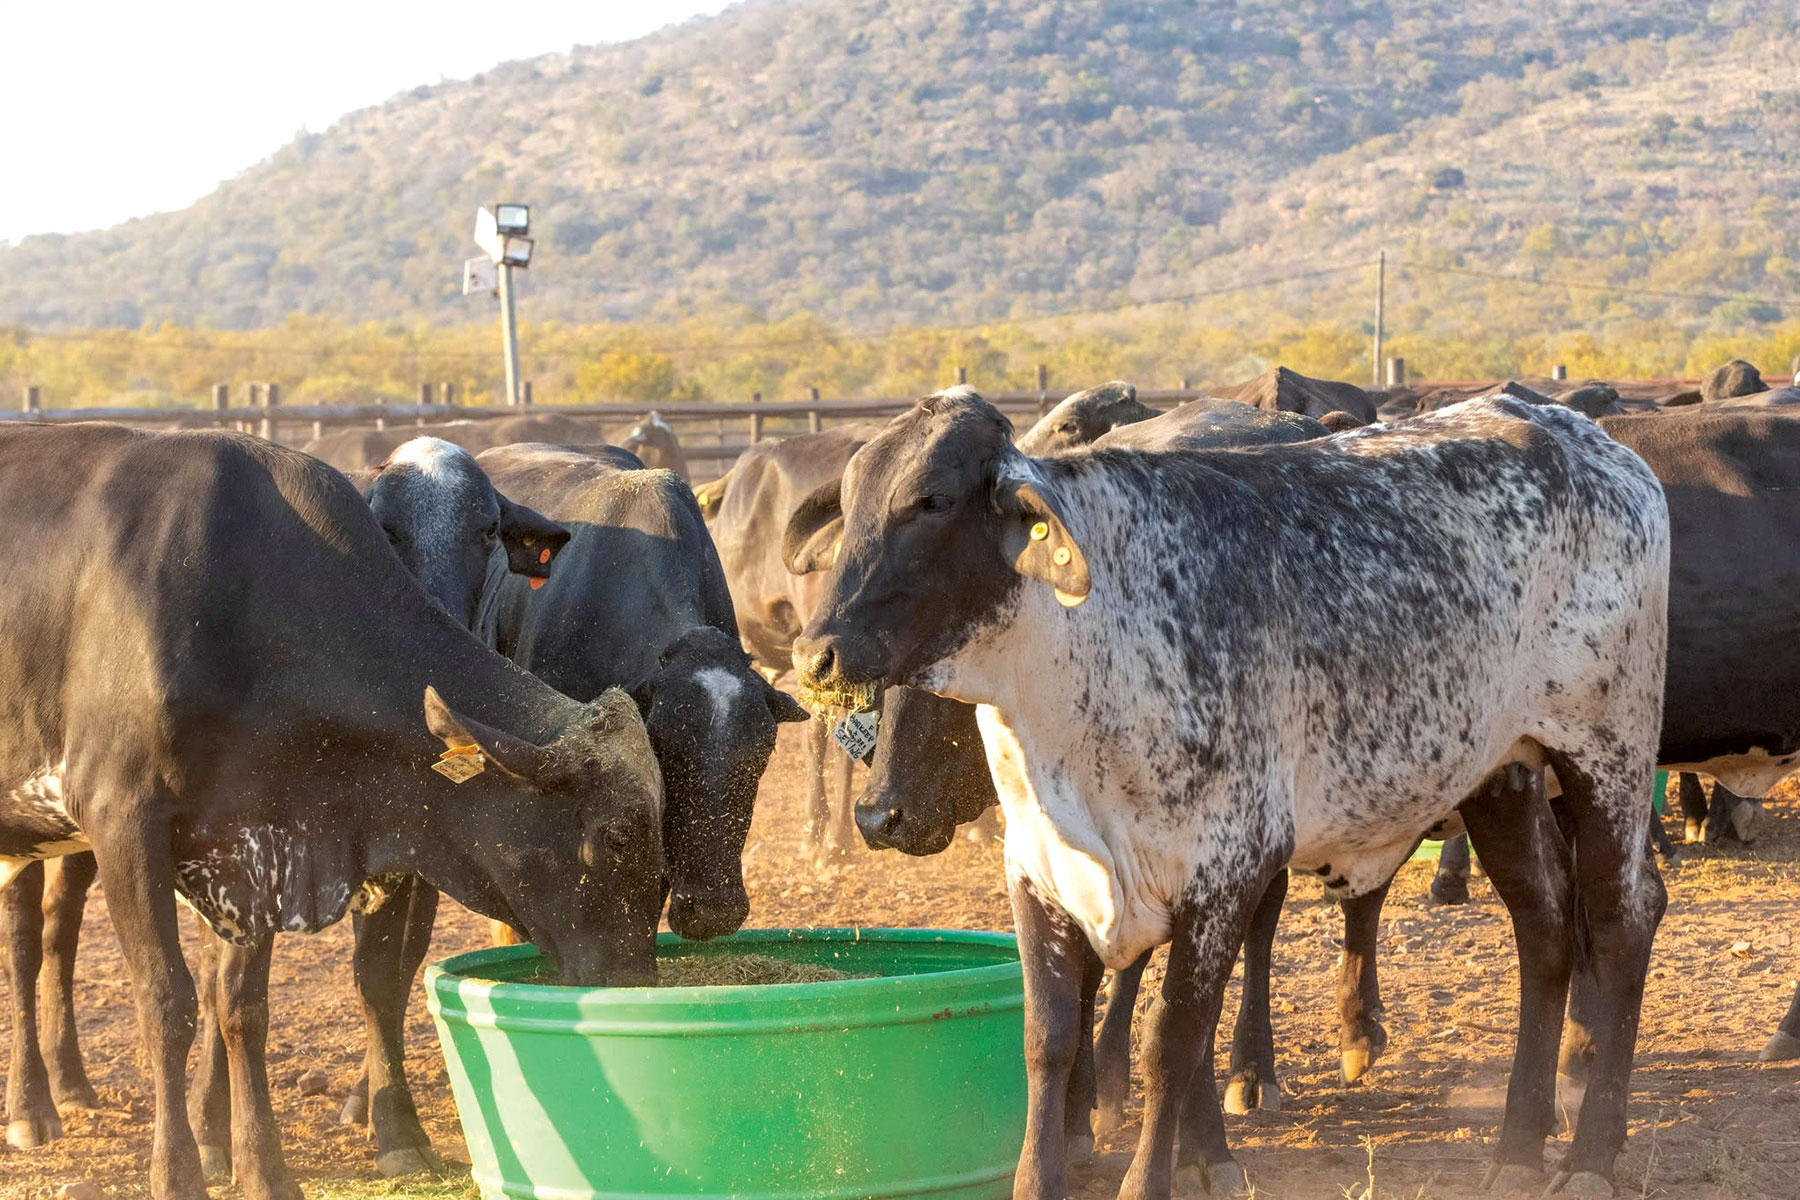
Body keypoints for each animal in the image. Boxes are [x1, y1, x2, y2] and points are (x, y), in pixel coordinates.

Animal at [0, 423, 665, 1200]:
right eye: (614, 837)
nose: (638, 986)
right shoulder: (121, 818)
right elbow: (168, 1003)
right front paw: (181, 1172)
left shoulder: (252, 840)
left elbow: (241, 1006)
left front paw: (266, 1169)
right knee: (26, 944)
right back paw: (33, 1107)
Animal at [787, 386, 1669, 1198]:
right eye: (854, 499)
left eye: (930, 501)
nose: (815, 655)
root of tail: (1592, 442)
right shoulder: (1037, 869)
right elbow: (1048, 1038)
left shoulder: (1226, 870)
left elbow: (1171, 1043)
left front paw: (1168, 1170)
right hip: (1501, 773)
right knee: (1544, 923)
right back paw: (1518, 1146)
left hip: (1609, 751)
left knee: (1623, 915)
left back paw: (1589, 1158)